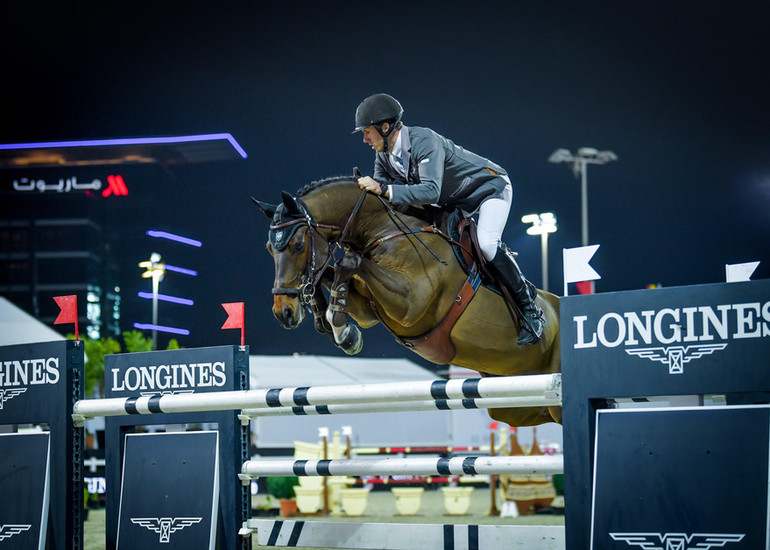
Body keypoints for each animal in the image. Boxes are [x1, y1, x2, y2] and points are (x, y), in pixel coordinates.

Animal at [255, 177, 560, 426]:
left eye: (297, 245)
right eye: (269, 249)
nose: (283, 312)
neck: (385, 232)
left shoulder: (410, 304)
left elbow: (347, 262)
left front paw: (343, 331)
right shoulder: (369, 311)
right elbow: (330, 273)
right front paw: (334, 324)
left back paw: (533, 320)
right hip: (517, 407)